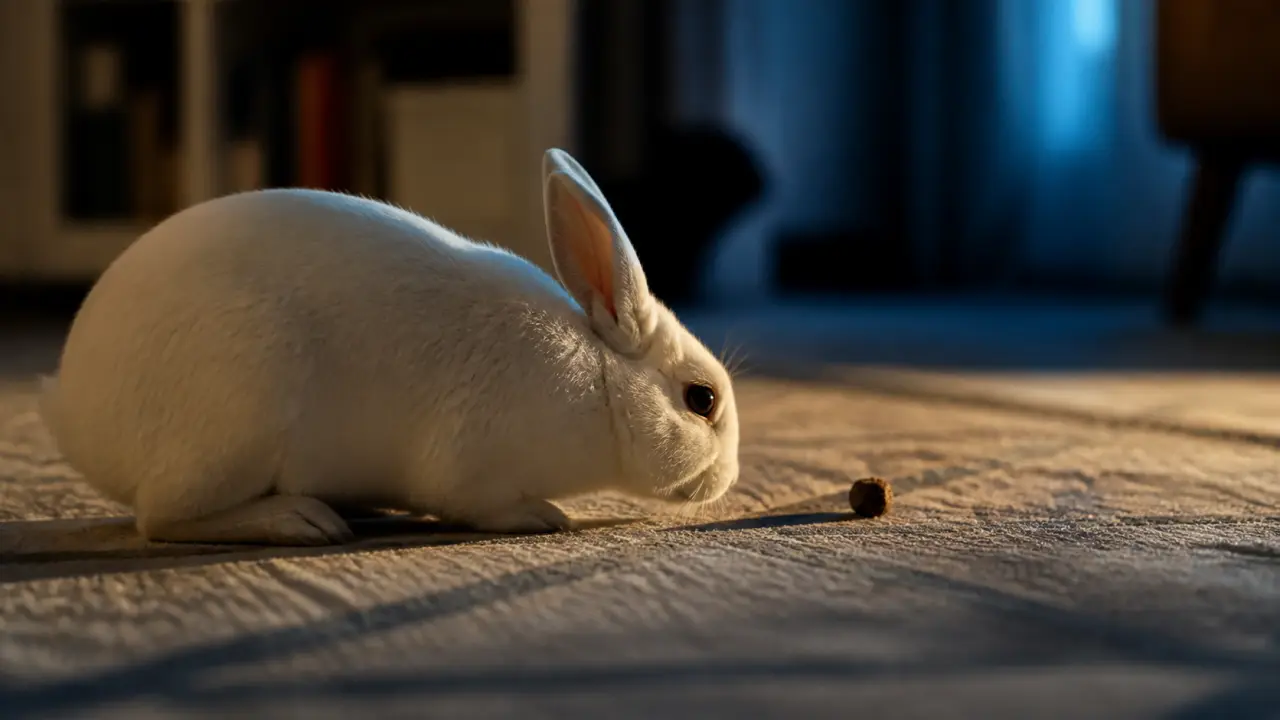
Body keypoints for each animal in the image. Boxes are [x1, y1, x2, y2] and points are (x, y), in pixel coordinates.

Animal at [39, 148, 740, 546]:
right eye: (700, 399)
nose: (729, 478)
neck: (600, 384)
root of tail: (72, 415)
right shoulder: (471, 469)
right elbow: (481, 506)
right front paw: (542, 516)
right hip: (236, 413)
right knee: (162, 518)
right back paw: (300, 521)